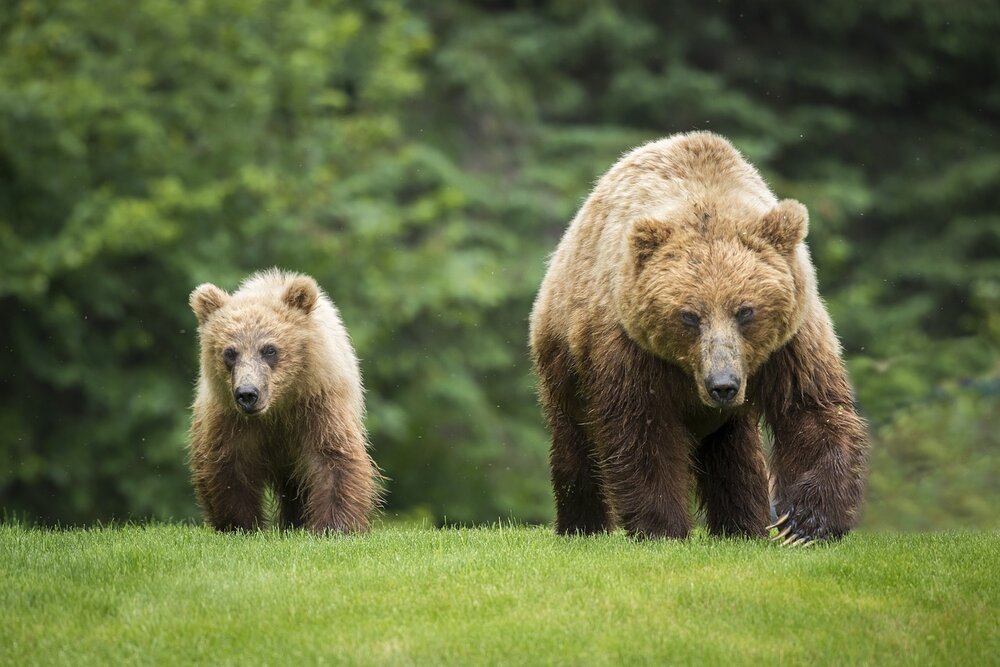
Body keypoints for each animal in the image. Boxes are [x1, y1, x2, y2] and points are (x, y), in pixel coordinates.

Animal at [188, 269, 380, 533]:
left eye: (269, 349)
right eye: (230, 352)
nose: (247, 394)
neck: (278, 406)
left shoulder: (319, 405)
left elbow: (332, 458)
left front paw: (334, 526)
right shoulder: (229, 418)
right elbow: (231, 467)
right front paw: (240, 524)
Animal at [529, 131, 869, 545]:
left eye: (745, 311)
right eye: (689, 315)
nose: (722, 384)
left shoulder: (790, 341)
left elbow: (811, 408)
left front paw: (803, 524)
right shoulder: (630, 350)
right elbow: (642, 433)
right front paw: (662, 527)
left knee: (735, 453)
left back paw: (743, 525)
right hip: (565, 353)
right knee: (575, 440)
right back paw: (582, 525)